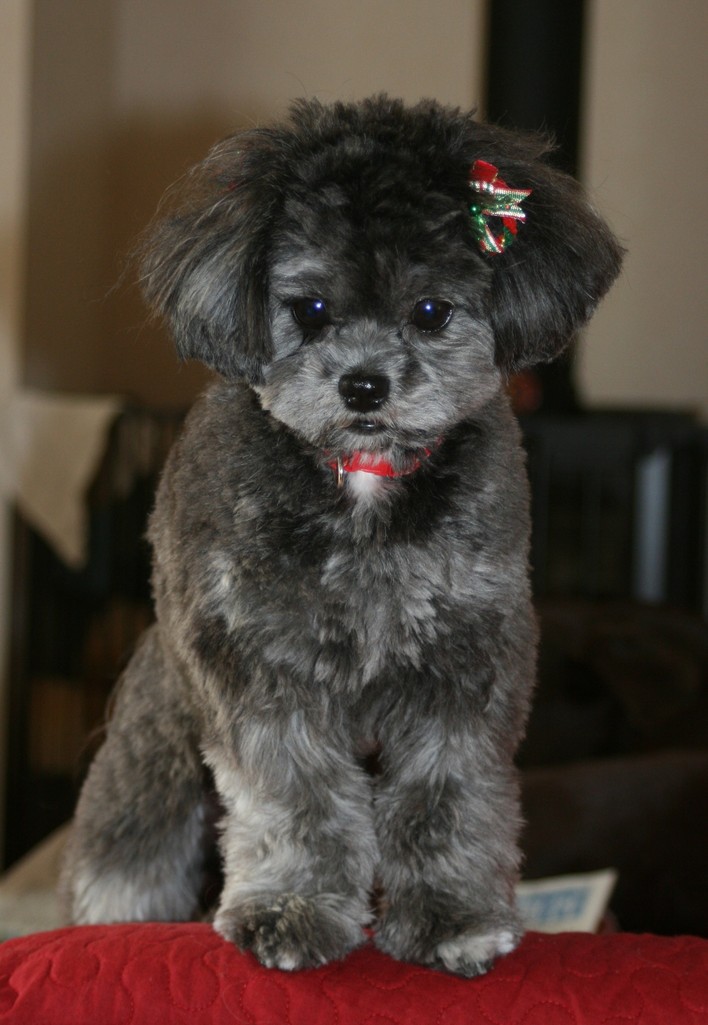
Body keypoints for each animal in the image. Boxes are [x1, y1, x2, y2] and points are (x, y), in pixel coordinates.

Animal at [61, 96, 623, 976]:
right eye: (312, 310)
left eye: (430, 311)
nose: (363, 385)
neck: (361, 485)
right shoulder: (261, 669)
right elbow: (295, 799)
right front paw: (290, 910)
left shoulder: (465, 664)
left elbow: (448, 797)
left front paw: (452, 916)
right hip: (160, 734)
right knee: (132, 840)